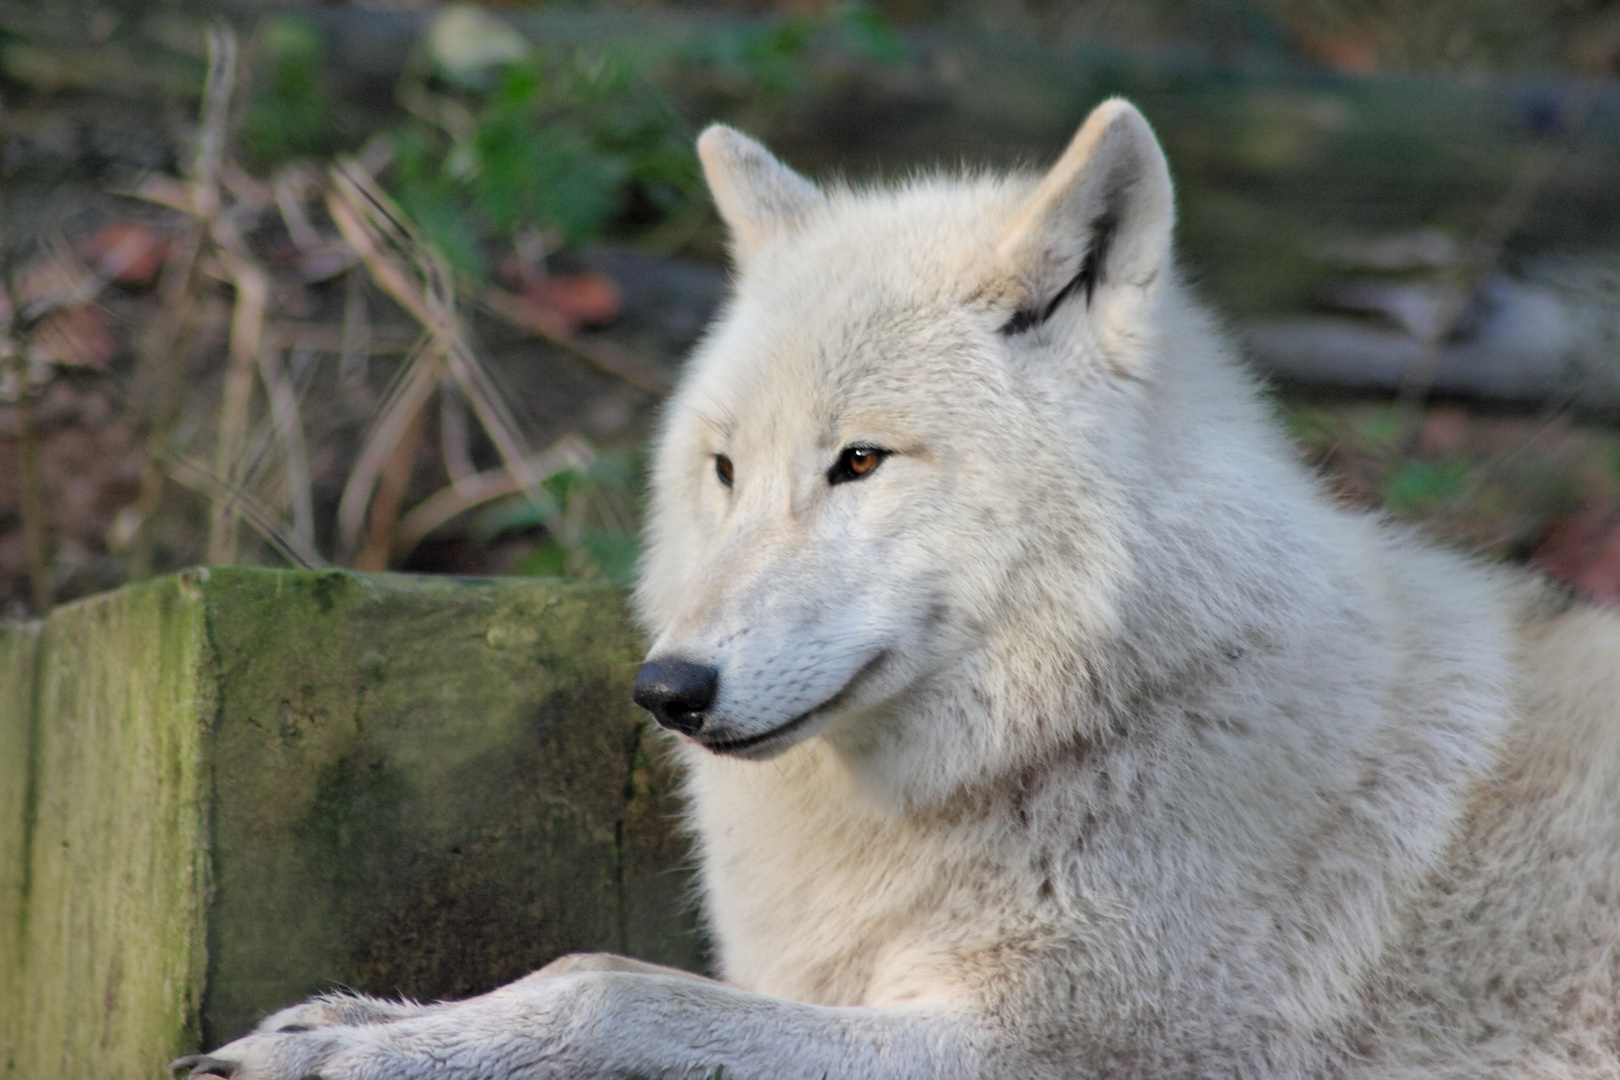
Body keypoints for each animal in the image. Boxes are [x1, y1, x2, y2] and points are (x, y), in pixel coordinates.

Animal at [177, 101, 1620, 1080]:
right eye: (725, 469)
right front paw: (348, 1023)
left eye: (859, 461)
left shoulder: (1046, 1045)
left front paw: (356, 1050)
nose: (667, 690)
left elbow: (610, 983)